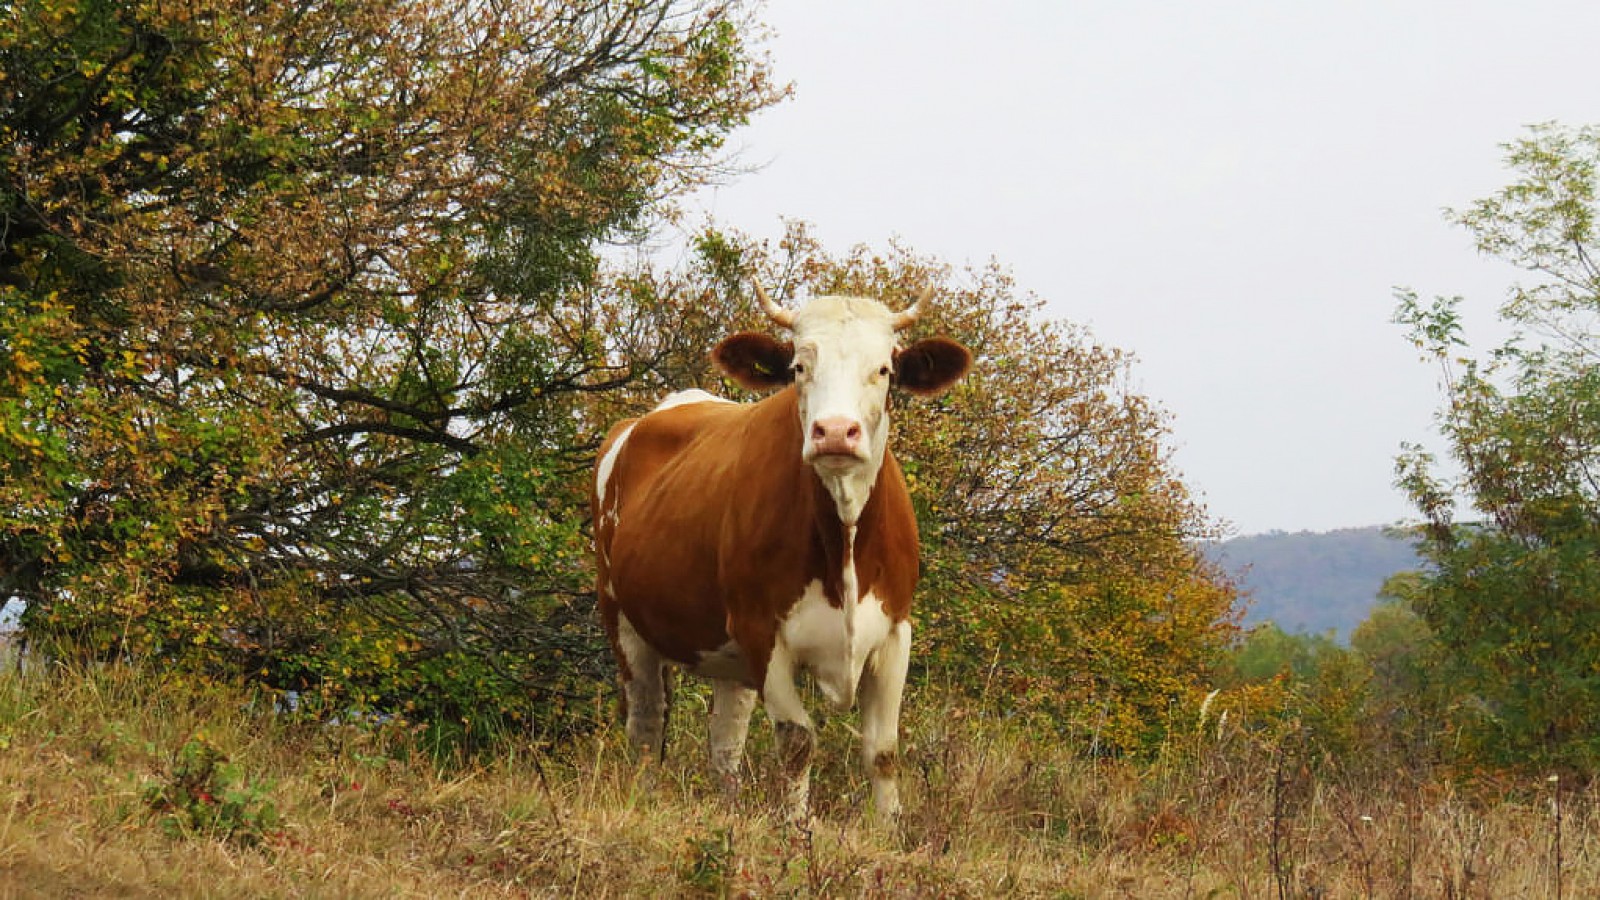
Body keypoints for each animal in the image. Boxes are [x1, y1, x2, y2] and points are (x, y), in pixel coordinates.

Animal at [592, 281, 972, 819]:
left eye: (884, 369)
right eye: (798, 367)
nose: (834, 432)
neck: (844, 544)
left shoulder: (896, 630)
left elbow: (883, 750)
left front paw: (890, 829)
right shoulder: (763, 633)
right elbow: (797, 743)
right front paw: (797, 829)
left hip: (727, 653)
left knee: (725, 741)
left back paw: (730, 810)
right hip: (621, 617)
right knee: (646, 724)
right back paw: (642, 801)